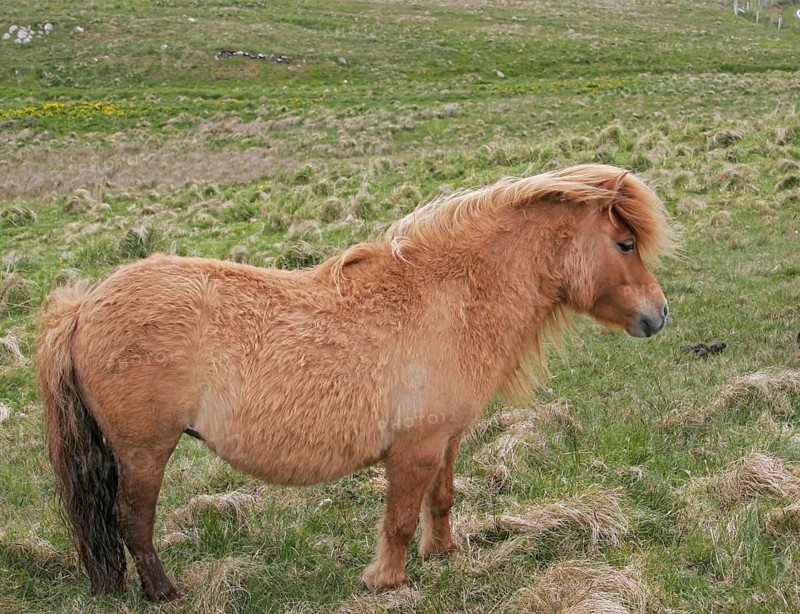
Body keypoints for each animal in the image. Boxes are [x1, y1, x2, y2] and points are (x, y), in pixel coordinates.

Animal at [37, 164, 675, 601]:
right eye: (624, 244)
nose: (659, 314)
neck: (449, 300)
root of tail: (83, 307)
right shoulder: (414, 449)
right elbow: (399, 518)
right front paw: (387, 581)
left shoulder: (445, 439)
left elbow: (441, 500)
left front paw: (444, 553)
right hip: (145, 449)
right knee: (132, 519)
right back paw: (164, 592)